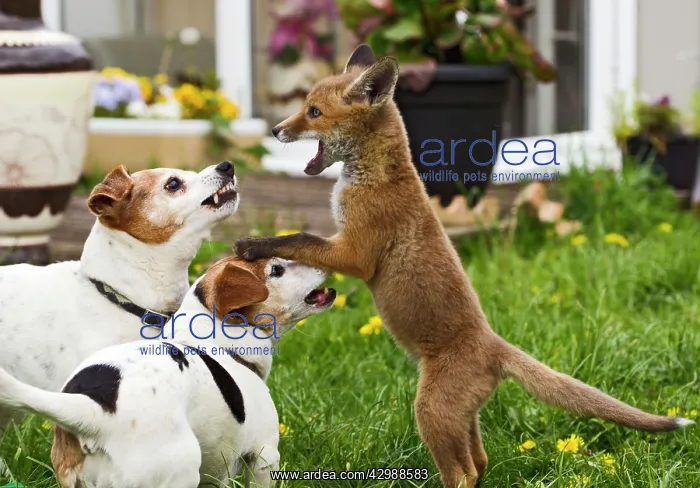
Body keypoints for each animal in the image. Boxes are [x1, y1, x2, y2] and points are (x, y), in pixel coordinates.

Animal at [235, 44, 693, 487]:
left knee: (463, 472)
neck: (376, 175)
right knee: (480, 461)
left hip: (432, 412)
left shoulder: (355, 253)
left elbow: (300, 239)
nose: (275, 131)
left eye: (313, 112)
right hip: (461, 418)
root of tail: (495, 346)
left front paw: (254, 245)